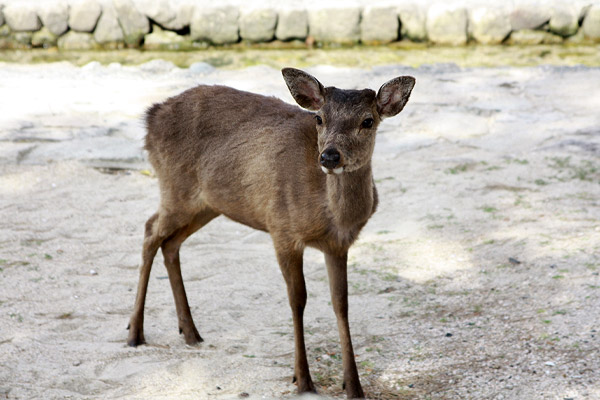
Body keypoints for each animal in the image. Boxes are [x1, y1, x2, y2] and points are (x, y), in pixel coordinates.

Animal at [125, 67, 418, 398]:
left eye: (368, 121)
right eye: (319, 118)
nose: (330, 157)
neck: (332, 216)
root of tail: (150, 117)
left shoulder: (338, 245)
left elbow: (341, 304)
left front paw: (353, 386)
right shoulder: (282, 229)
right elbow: (297, 299)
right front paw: (302, 379)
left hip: (208, 203)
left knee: (170, 243)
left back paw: (190, 331)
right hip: (176, 188)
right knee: (150, 231)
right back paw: (135, 332)